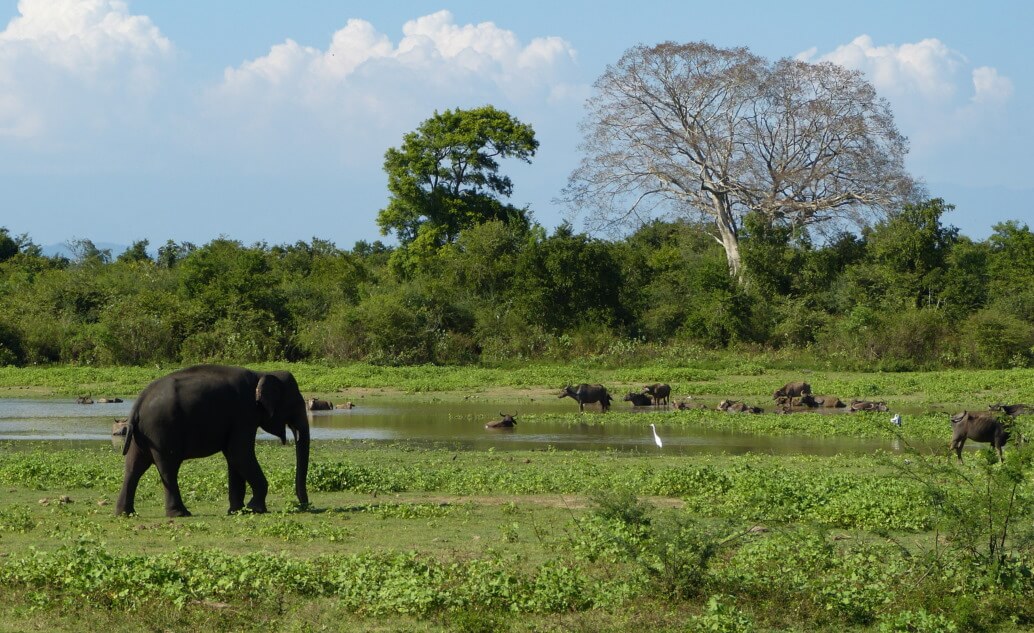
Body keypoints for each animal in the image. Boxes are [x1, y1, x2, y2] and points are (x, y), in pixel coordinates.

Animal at [115, 364, 310, 517]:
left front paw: (236, 511)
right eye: (295, 404)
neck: (261, 373)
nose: (304, 506)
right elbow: (240, 454)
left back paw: (126, 514)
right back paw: (180, 513)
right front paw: (255, 509)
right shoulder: (244, 414)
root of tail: (137, 405)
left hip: (143, 435)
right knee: (168, 468)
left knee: (134, 467)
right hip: (162, 429)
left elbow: (234, 458)